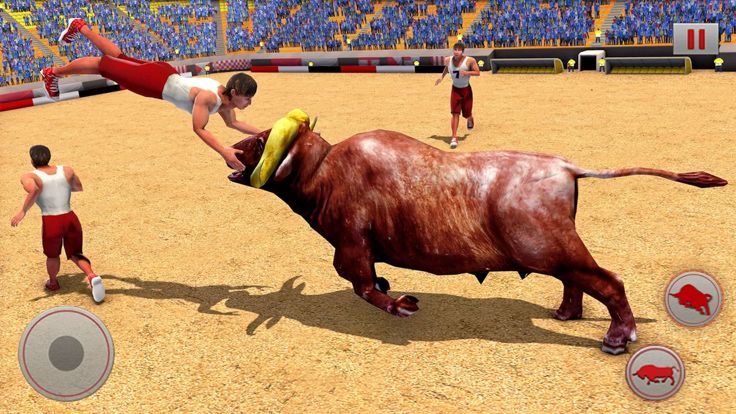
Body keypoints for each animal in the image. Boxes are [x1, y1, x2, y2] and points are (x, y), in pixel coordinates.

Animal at [227, 122, 727, 355]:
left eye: (260, 141)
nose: (233, 149)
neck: (325, 172)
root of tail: (566, 167)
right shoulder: (363, 251)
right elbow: (370, 279)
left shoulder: (351, 244)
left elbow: (362, 284)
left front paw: (403, 305)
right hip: (557, 250)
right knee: (577, 282)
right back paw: (564, 315)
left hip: (549, 248)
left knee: (608, 280)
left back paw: (616, 339)